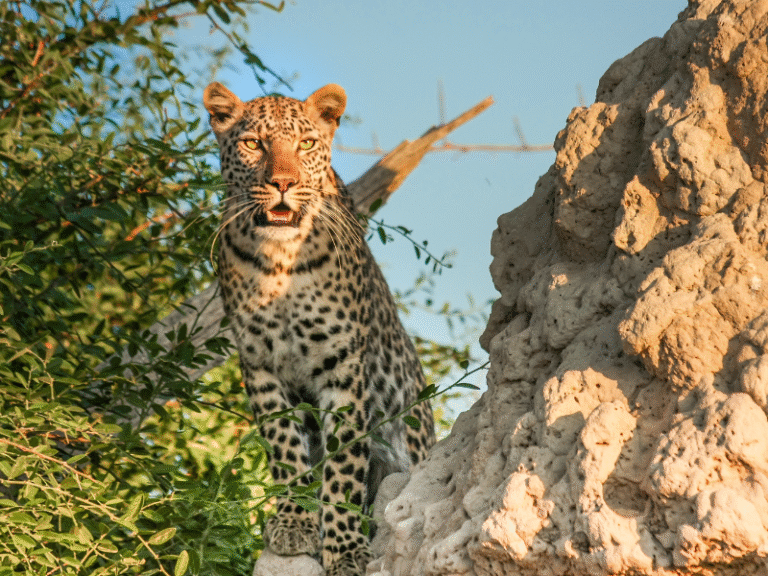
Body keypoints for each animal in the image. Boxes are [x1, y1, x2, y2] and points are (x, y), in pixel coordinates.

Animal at [203, 81, 435, 576]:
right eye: (254, 144)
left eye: (306, 144)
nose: (283, 184)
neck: (280, 262)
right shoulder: (260, 365)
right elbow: (285, 448)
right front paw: (294, 524)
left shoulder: (342, 365)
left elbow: (343, 463)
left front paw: (346, 549)